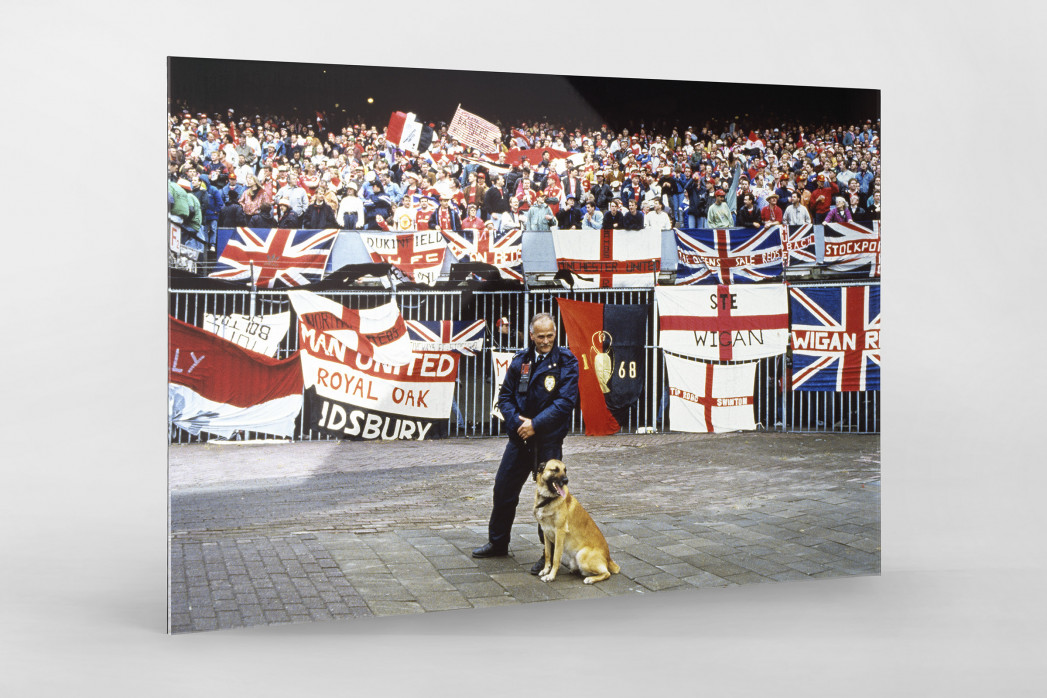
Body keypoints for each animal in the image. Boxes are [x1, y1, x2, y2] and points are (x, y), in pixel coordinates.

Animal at [536, 458, 615, 586]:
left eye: (565, 470)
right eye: (555, 470)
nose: (566, 480)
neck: (548, 499)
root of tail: (608, 558)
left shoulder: (560, 533)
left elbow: (555, 557)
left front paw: (551, 576)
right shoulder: (546, 532)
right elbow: (548, 554)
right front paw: (545, 570)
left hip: (581, 556)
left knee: (606, 573)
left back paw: (590, 579)